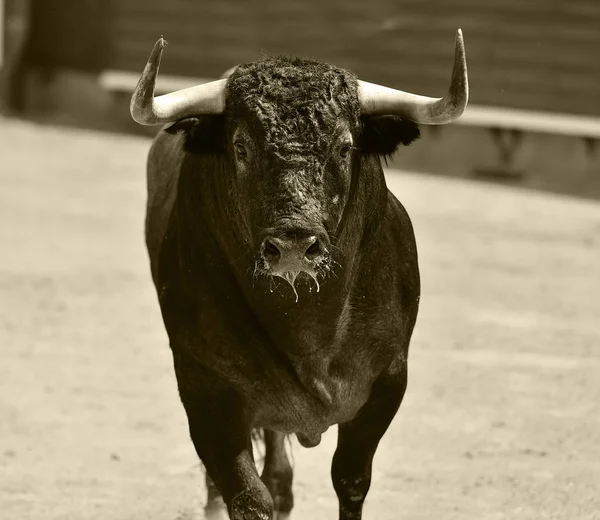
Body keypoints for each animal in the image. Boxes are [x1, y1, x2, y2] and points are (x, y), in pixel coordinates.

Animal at [130, 29, 468, 520]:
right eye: (241, 147)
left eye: (344, 147)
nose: (293, 244)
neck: (310, 329)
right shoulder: (204, 391)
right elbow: (247, 494)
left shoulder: (388, 383)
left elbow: (350, 479)